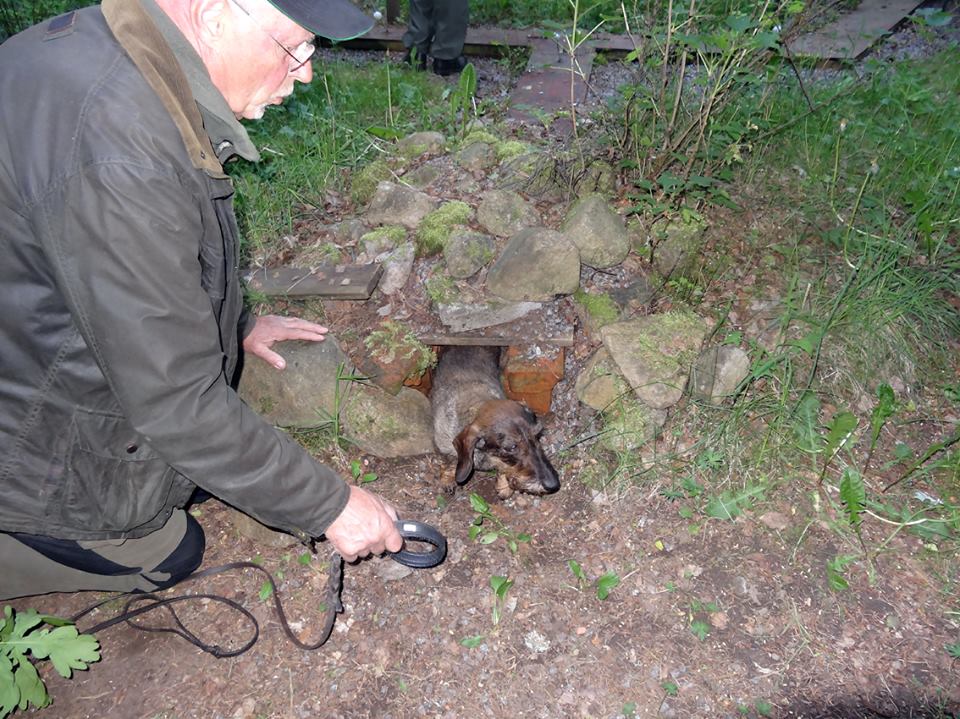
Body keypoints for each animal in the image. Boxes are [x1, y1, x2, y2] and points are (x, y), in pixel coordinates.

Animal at [430, 346, 560, 498]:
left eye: (538, 435)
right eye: (512, 447)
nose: (553, 484)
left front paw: (504, 486)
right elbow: (449, 463)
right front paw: (448, 479)